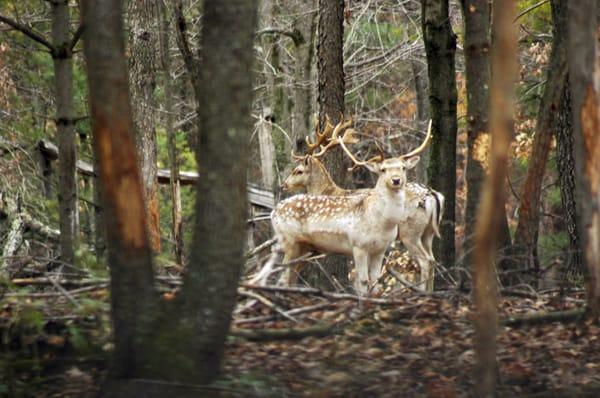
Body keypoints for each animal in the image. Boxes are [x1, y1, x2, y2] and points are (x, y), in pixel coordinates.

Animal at [254, 119, 436, 294]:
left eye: (298, 170)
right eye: (383, 169)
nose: (284, 185)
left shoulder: (372, 248)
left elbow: (369, 282)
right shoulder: (357, 246)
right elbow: (363, 281)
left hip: (411, 233)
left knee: (426, 260)